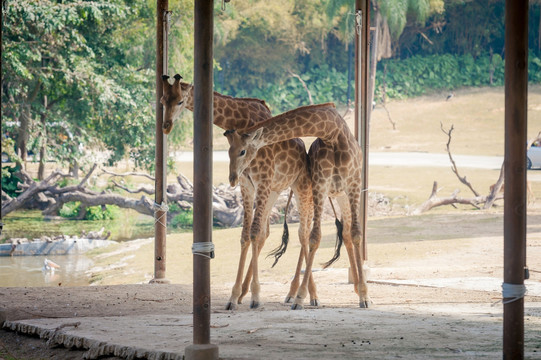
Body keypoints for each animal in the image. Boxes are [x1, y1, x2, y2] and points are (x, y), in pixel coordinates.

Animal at [158, 74, 316, 310]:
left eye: (180, 101)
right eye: (162, 100)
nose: (166, 126)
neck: (239, 120)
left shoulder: (261, 180)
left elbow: (253, 232)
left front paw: (256, 296)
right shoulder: (246, 183)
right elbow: (246, 234)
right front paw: (234, 296)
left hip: (298, 188)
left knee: (303, 233)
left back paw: (306, 295)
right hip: (274, 190)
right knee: (269, 232)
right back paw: (263, 293)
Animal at [225, 102, 372, 310]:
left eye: (242, 151)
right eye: (228, 151)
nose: (232, 178)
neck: (332, 133)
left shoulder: (354, 183)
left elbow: (358, 234)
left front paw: (365, 296)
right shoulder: (320, 184)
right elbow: (314, 237)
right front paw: (300, 298)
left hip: (337, 194)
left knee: (347, 233)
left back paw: (358, 289)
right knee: (315, 233)